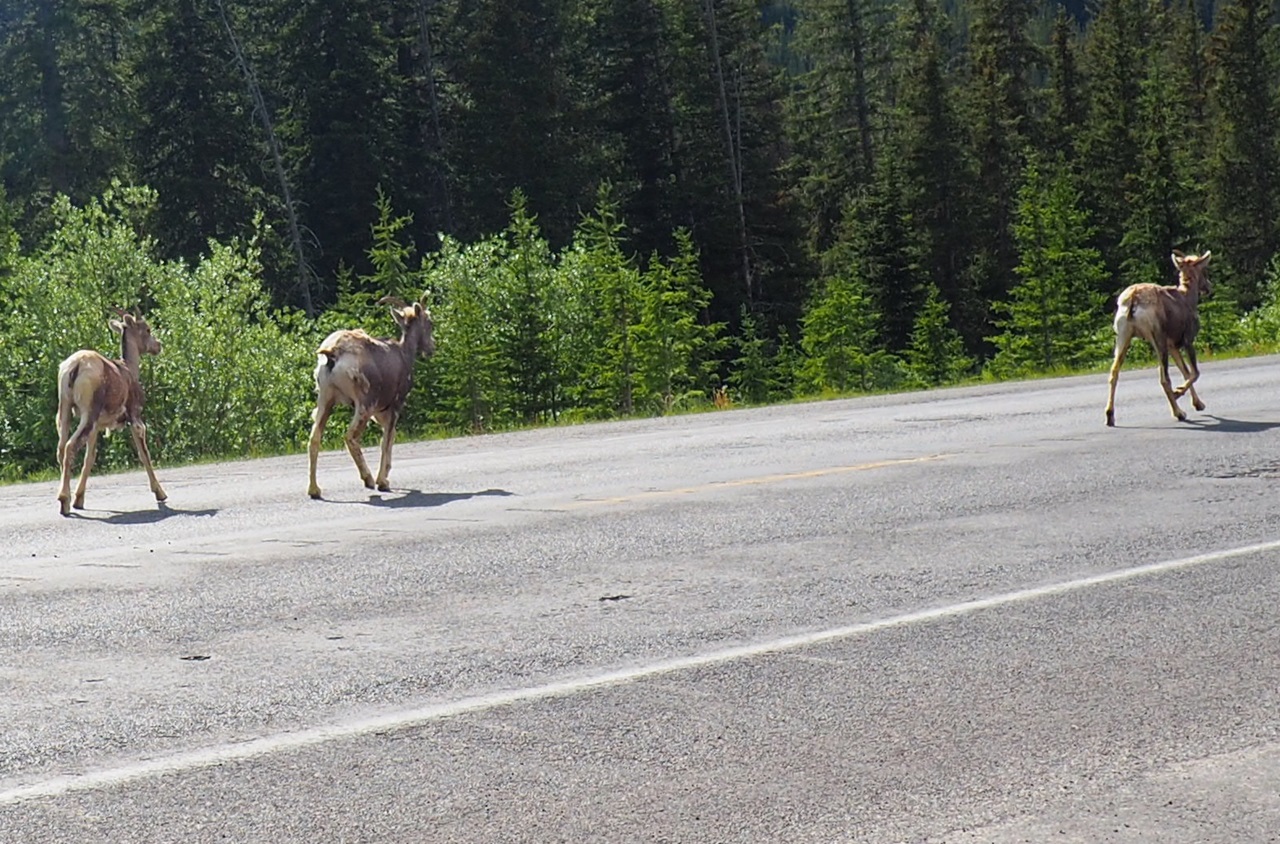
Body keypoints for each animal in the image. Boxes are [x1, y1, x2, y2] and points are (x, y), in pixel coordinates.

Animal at [55, 309, 168, 516]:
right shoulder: (135, 417)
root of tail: (75, 367)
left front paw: (79, 500)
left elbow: (90, 458)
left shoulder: (97, 427)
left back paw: (66, 500)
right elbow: (144, 454)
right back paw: (64, 501)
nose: (158, 345)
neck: (129, 368)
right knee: (70, 446)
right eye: (147, 329)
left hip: (64, 409)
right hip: (88, 413)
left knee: (61, 449)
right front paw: (160, 493)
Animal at [307, 294, 436, 499]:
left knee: (314, 438)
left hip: (326, 399)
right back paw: (368, 479)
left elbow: (391, 436)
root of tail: (333, 352)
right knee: (350, 437)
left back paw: (314, 490)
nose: (432, 348)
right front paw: (383, 482)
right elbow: (386, 441)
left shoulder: (380, 412)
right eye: (429, 322)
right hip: (364, 405)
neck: (404, 353)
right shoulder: (394, 405)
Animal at [1104, 250, 1213, 427]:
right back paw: (1179, 413)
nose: (1208, 287)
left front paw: (1199, 404)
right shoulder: (1187, 340)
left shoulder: (1173, 346)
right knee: (1164, 378)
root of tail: (1133, 298)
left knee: (1114, 372)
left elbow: (1185, 371)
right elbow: (1194, 373)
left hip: (1123, 336)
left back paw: (1109, 417)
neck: (1189, 298)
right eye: (1204, 271)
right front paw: (1179, 393)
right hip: (1157, 338)